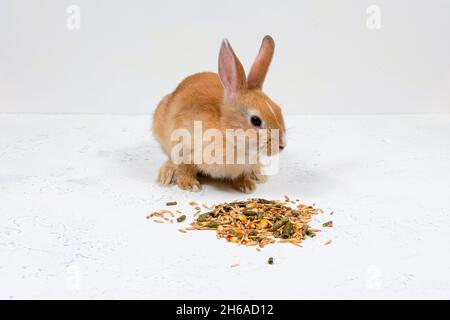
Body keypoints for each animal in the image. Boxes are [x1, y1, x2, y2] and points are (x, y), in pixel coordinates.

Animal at [151, 35, 284, 192]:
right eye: (256, 120)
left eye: (279, 109)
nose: (282, 145)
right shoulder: (184, 146)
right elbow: (185, 168)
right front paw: (190, 185)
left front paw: (247, 185)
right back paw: (166, 174)